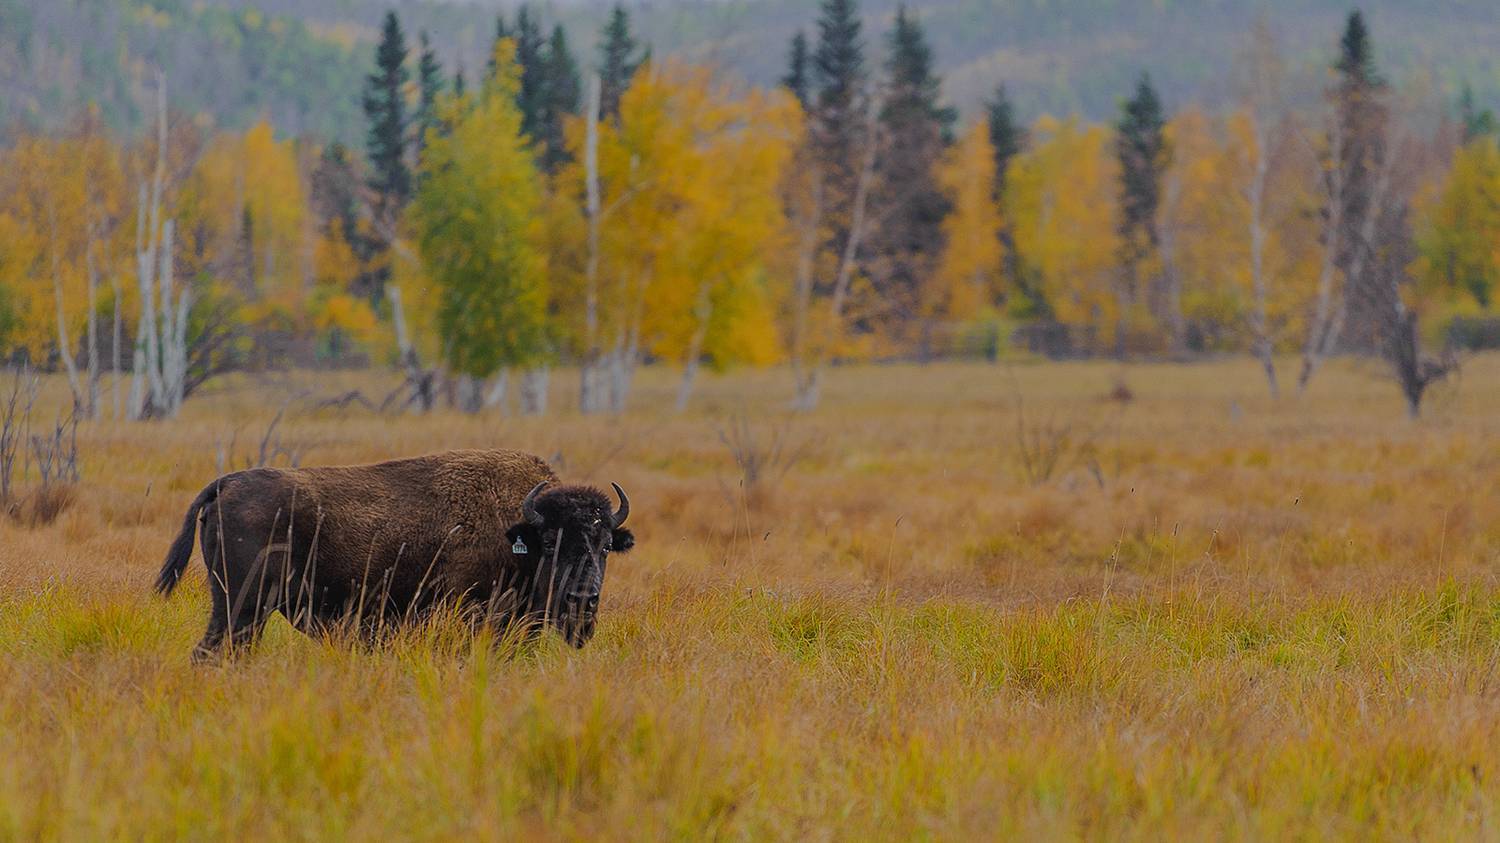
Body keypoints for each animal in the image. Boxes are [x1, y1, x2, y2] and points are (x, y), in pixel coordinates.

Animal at [155, 450, 636, 660]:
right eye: (551, 542)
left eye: (604, 545)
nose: (583, 600)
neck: (516, 531)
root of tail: (227, 482)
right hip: (241, 607)